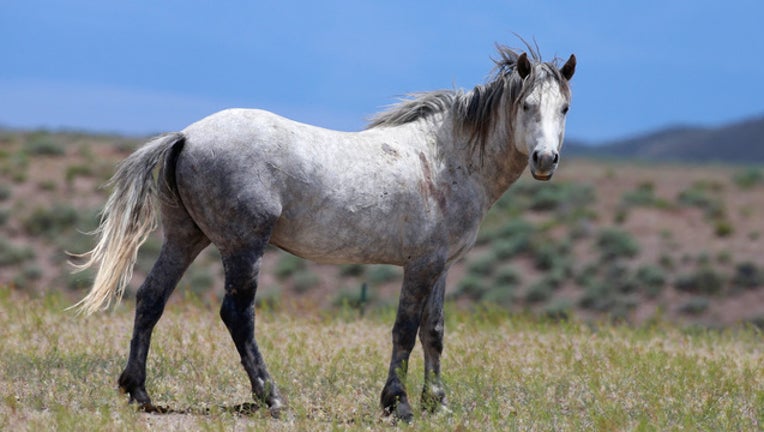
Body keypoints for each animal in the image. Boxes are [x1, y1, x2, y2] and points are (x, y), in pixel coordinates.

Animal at [72, 44, 575, 422]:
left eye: (565, 107)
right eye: (527, 105)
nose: (545, 160)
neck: (444, 158)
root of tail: (186, 136)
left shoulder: (441, 266)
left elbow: (433, 331)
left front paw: (439, 403)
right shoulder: (420, 266)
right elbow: (404, 330)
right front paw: (398, 404)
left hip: (185, 238)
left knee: (150, 299)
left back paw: (138, 391)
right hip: (242, 247)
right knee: (237, 315)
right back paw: (271, 397)